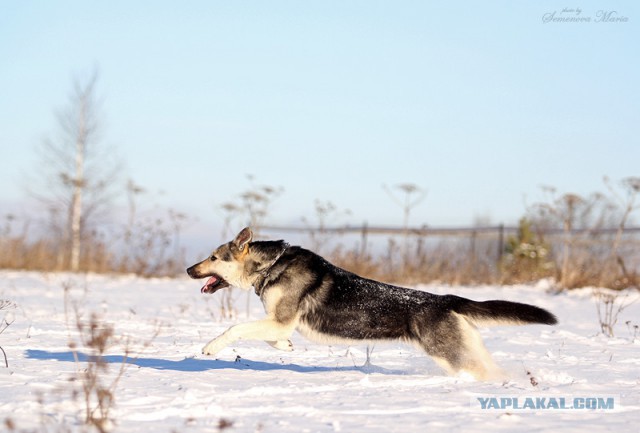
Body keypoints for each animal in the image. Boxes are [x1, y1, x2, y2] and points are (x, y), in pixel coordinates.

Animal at [186, 226, 556, 378]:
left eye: (213, 257)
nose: (188, 269)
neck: (270, 265)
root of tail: (448, 299)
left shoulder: (281, 320)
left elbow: (235, 328)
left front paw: (210, 347)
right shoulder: (279, 324)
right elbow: (271, 339)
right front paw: (285, 347)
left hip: (450, 355)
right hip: (464, 350)